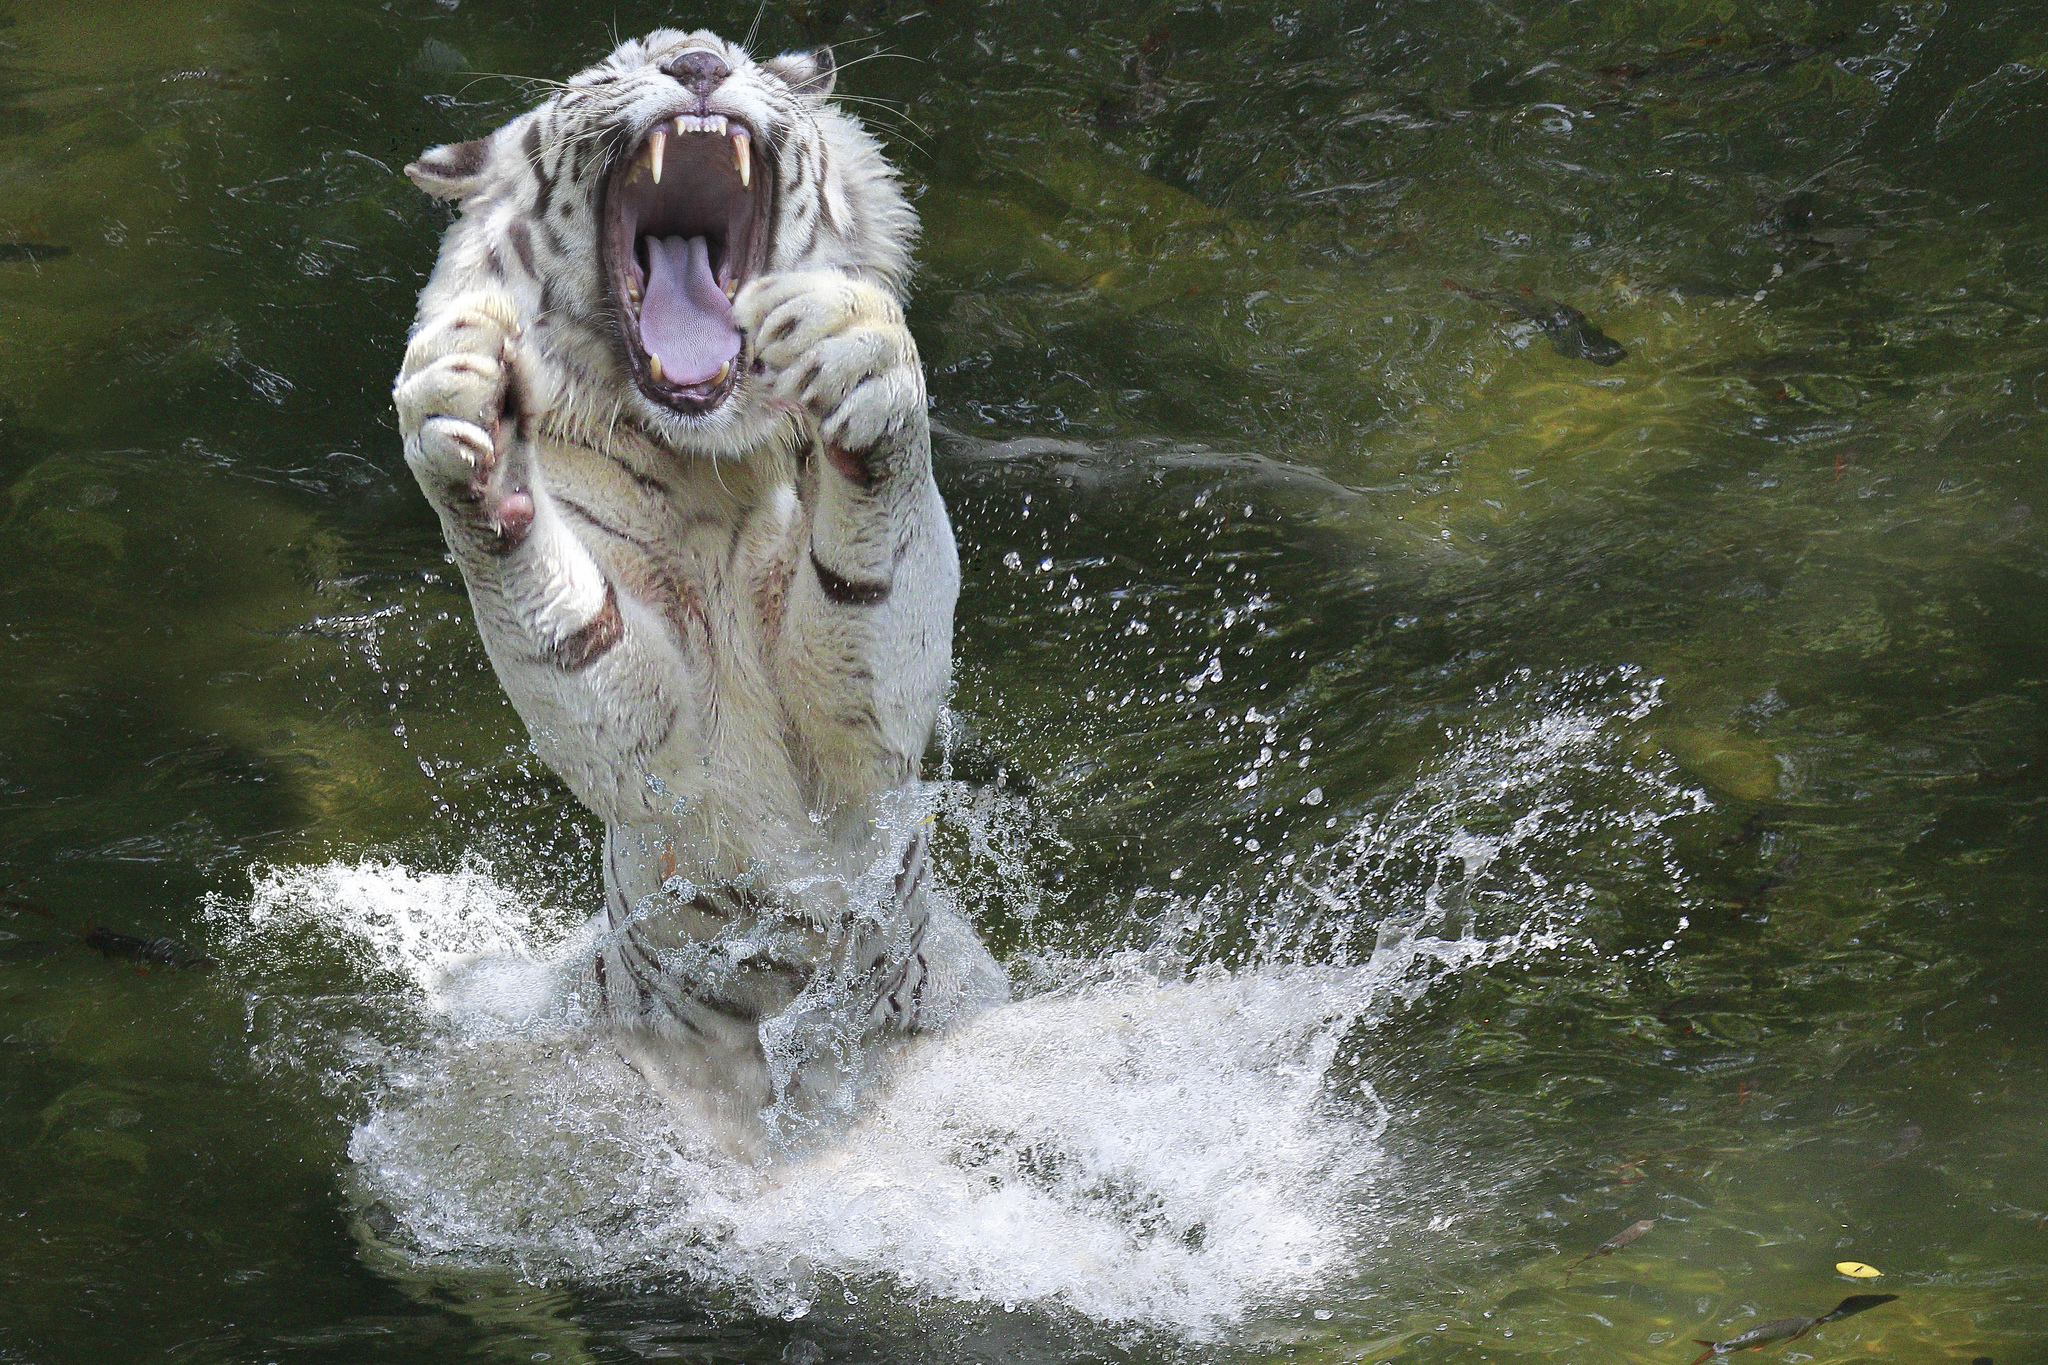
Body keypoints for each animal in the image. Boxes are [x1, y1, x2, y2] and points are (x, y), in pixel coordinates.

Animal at [387, 29, 1003, 1146]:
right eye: (611, 68)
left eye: (733, 53)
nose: (697, 61)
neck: (710, 461)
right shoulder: (654, 748)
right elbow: (574, 643)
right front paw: (468, 424)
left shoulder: (871, 736)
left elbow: (879, 586)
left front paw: (859, 362)